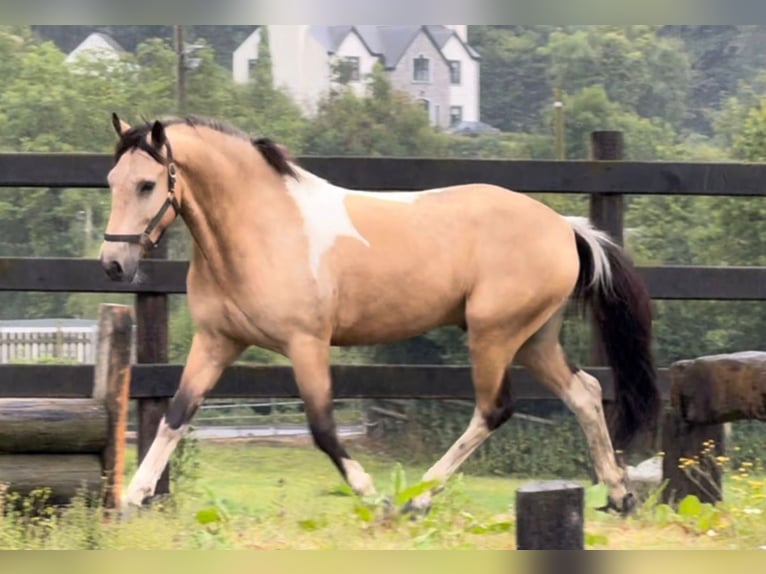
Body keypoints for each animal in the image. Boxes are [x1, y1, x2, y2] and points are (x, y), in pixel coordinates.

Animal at [100, 116, 660, 516]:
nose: (113, 263)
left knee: (494, 410)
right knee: (584, 392)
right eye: (111, 181)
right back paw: (619, 495)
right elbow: (176, 415)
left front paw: (372, 495)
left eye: (147, 184)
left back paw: (418, 498)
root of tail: (564, 226)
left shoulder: (306, 343)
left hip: (494, 335)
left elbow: (323, 428)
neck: (263, 228)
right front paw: (132, 498)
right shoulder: (217, 341)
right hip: (534, 340)